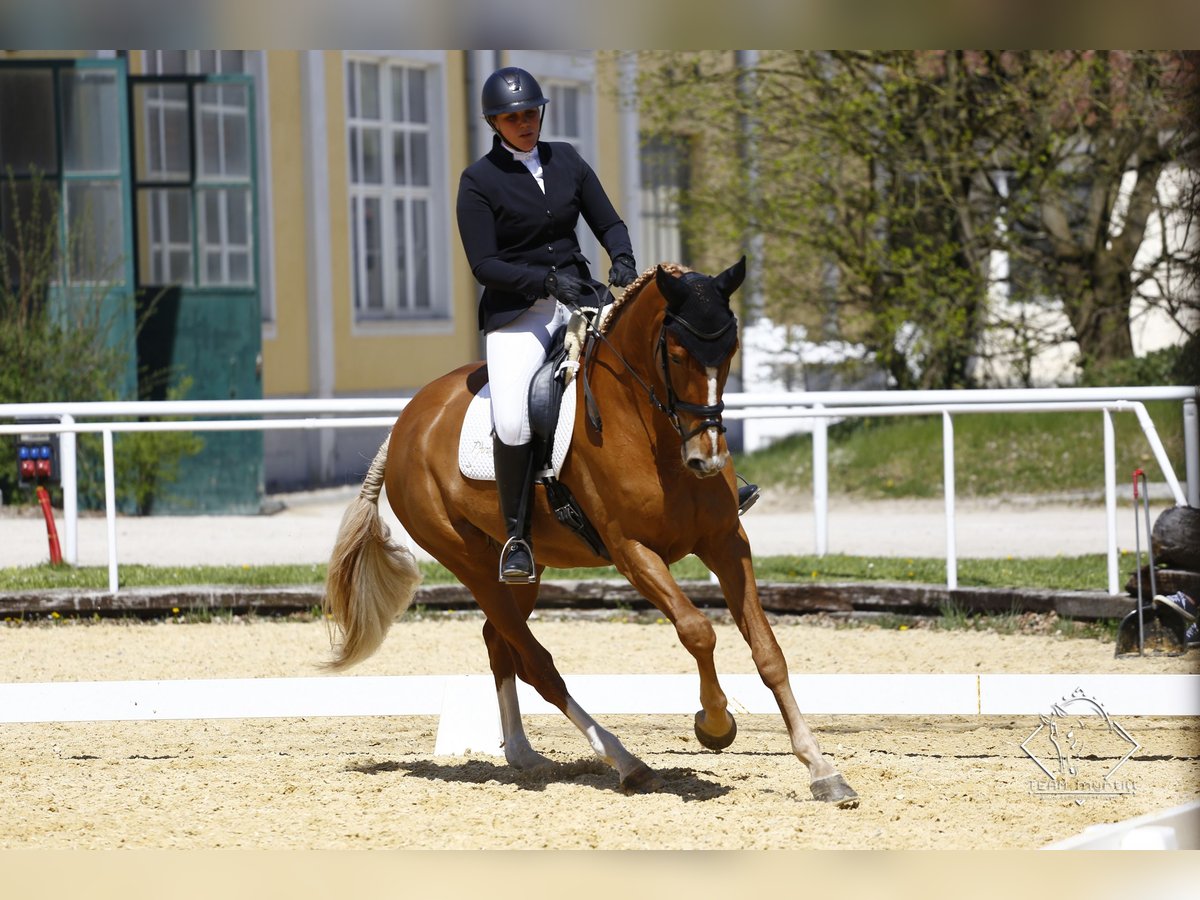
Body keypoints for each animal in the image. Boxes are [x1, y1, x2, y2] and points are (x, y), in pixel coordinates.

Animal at [321, 256, 854, 806]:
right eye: (677, 355)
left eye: (730, 350)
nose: (706, 459)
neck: (654, 436)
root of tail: (404, 424)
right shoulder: (632, 551)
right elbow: (697, 630)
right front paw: (714, 724)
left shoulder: (726, 542)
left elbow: (769, 653)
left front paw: (821, 768)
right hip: (468, 562)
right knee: (537, 663)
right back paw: (627, 763)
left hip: (520, 569)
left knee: (500, 641)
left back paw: (523, 754)